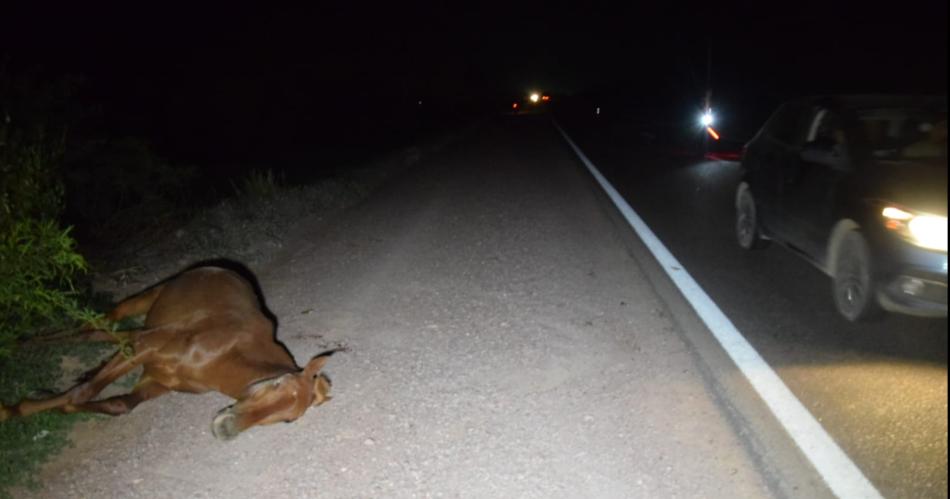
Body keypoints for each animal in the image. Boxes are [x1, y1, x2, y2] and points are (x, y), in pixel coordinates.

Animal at [0, 268, 336, 440]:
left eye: (288, 421)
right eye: (277, 384)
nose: (225, 429)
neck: (225, 354)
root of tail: (219, 267)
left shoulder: (157, 380)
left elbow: (117, 404)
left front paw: (53, 403)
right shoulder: (145, 347)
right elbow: (82, 392)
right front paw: (12, 410)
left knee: (105, 335)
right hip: (143, 301)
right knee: (89, 329)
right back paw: (20, 343)